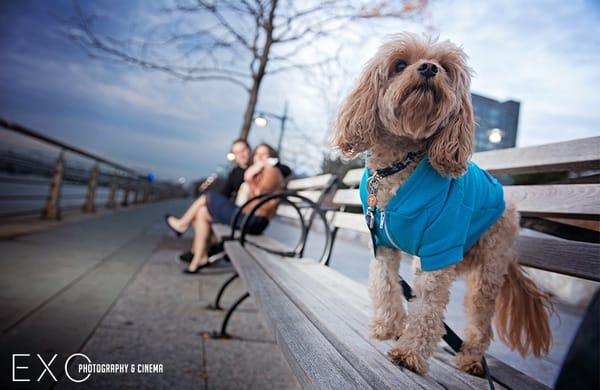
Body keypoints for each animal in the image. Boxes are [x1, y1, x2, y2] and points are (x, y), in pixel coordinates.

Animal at [332, 32, 552, 374]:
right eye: (399, 64)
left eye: (445, 68)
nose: (428, 68)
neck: (400, 163)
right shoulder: (382, 243)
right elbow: (385, 284)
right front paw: (389, 326)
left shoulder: (440, 248)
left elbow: (427, 306)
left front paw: (410, 352)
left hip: (488, 269)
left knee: (480, 320)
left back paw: (472, 358)